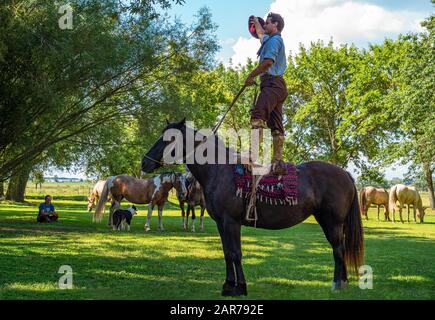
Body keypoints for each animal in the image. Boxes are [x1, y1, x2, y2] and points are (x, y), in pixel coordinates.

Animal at [142, 120, 364, 298]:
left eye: (169, 139)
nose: (144, 162)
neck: (220, 170)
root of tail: (345, 174)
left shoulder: (231, 222)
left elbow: (236, 254)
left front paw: (240, 287)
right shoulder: (221, 224)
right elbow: (227, 253)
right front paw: (228, 285)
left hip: (332, 222)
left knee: (338, 249)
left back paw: (337, 284)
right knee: (340, 248)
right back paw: (344, 282)